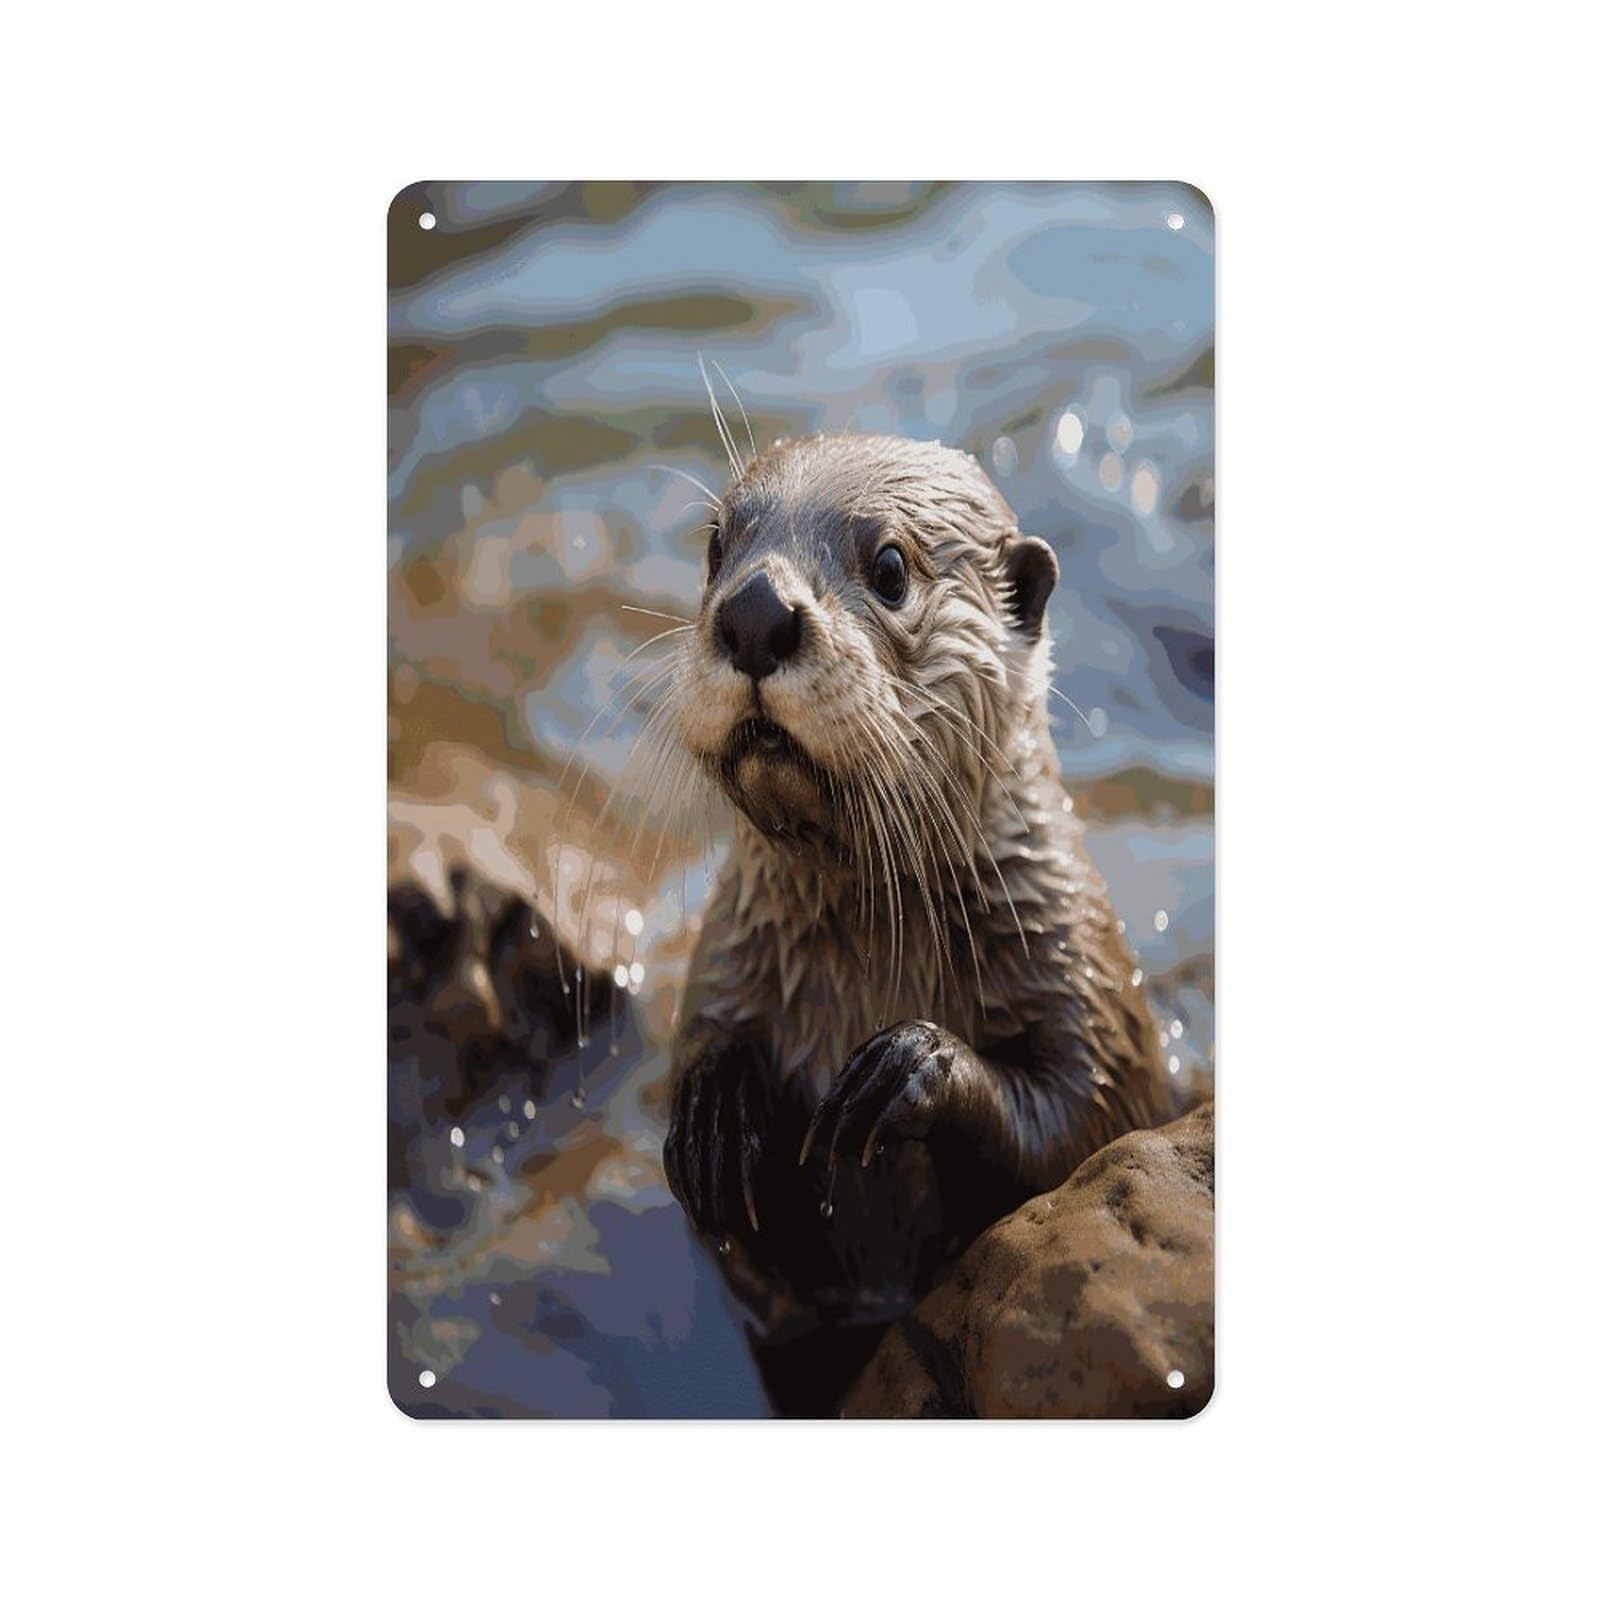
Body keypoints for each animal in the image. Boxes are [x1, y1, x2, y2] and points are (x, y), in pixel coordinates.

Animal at [658, 432, 1170, 1415]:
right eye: (716, 545)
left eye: (891, 566)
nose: (753, 612)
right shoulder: (726, 956)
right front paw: (716, 1110)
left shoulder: (1085, 977)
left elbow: (1086, 1124)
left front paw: (911, 1067)